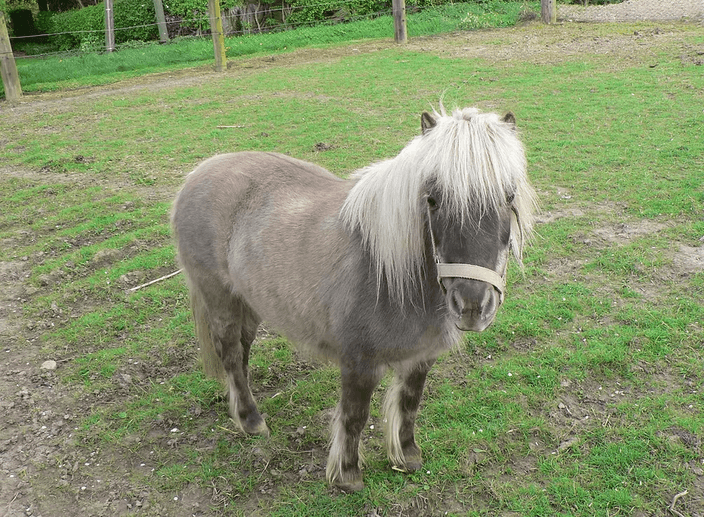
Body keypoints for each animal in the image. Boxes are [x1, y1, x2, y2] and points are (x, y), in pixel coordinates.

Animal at [171, 106, 537, 492]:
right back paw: (250, 419)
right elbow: (354, 416)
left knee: (241, 351)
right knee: (229, 352)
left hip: (250, 302)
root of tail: (199, 173)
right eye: (432, 200)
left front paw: (406, 456)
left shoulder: (421, 358)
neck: (390, 275)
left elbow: (410, 404)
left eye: (509, 197)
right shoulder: (359, 363)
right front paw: (347, 474)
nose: (471, 305)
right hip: (220, 298)